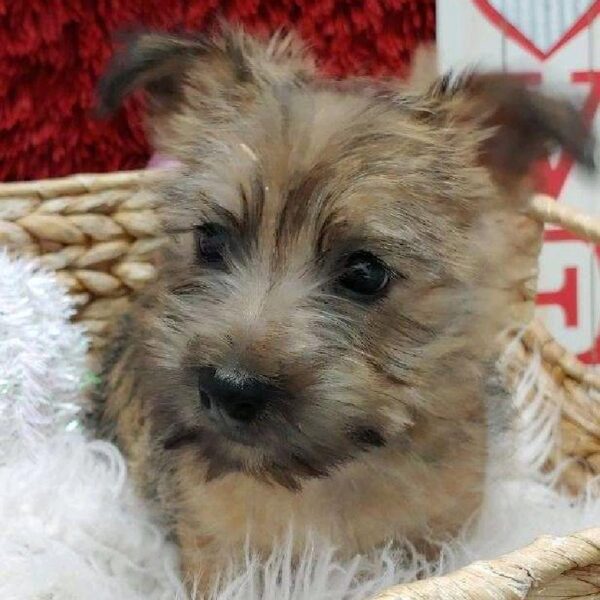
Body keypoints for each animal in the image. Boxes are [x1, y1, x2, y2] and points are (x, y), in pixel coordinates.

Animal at [95, 25, 596, 588]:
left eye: (365, 273)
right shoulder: (216, 556)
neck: (332, 473)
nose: (228, 389)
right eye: (209, 240)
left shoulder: (439, 537)